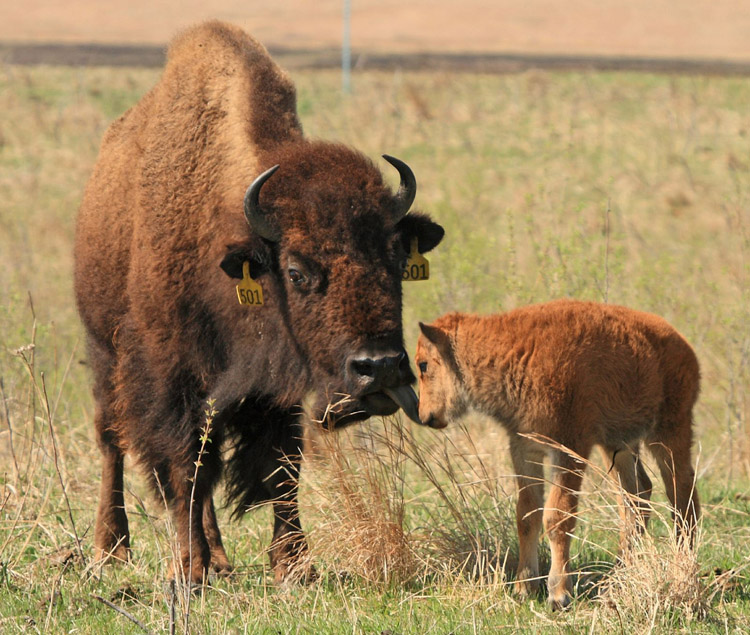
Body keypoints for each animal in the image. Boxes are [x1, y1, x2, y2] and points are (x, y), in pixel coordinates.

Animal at [74, 21, 444, 588]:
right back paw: (112, 549)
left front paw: (294, 566)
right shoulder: (170, 377)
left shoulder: (275, 390)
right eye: (295, 271)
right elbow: (183, 467)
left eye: (397, 259)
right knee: (113, 441)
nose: (379, 368)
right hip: (103, 352)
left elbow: (280, 467)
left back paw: (220, 558)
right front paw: (187, 571)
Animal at [420, 300, 704, 608]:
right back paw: (618, 575)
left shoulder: (569, 450)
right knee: (638, 496)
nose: (425, 417)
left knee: (682, 496)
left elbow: (557, 516)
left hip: (668, 434)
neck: (512, 350)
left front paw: (558, 594)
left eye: (423, 364)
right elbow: (527, 514)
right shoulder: (524, 448)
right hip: (618, 446)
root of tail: (685, 347)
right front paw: (524, 588)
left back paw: (680, 566)